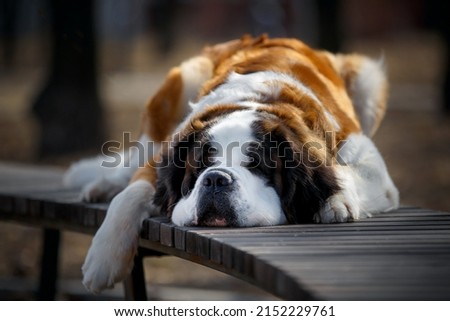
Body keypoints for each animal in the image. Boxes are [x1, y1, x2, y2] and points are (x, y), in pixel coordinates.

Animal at [63, 35, 398, 292]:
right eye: (199, 167)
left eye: (257, 165)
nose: (215, 179)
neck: (256, 102)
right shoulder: (163, 157)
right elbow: (130, 195)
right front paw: (103, 260)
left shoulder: (371, 165)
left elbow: (344, 171)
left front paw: (335, 201)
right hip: (183, 80)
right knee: (133, 162)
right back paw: (101, 185)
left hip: (368, 77)